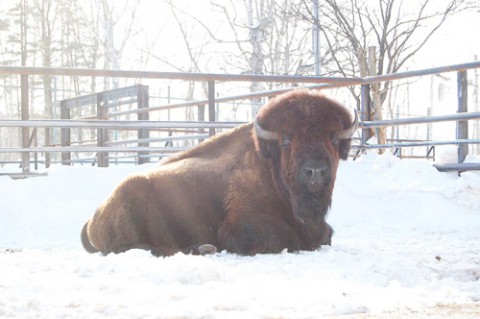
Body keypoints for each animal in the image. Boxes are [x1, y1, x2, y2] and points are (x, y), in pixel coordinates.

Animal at [80, 90, 358, 258]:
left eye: (334, 138)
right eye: (287, 139)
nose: (315, 170)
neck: (270, 169)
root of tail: (94, 216)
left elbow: (326, 235)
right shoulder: (240, 225)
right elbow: (286, 238)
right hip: (132, 201)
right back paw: (202, 248)